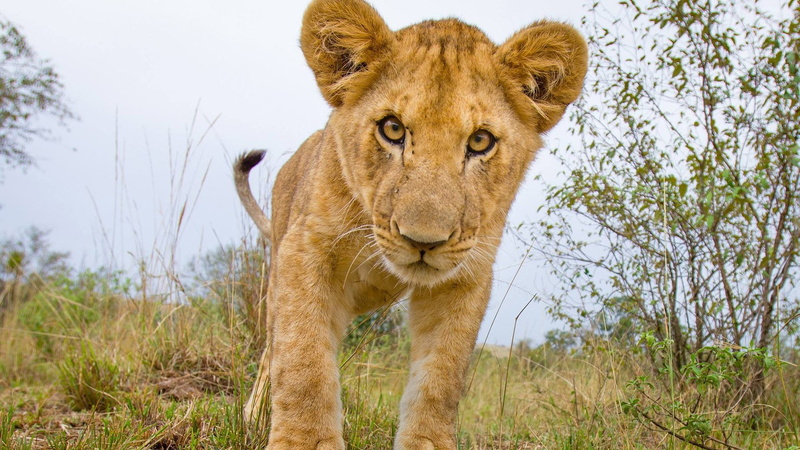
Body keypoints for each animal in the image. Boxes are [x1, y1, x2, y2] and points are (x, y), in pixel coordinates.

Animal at [234, 0, 587, 448]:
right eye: (393, 129)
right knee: (272, 348)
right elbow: (303, 359)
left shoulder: (465, 275)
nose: (424, 241)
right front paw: (305, 440)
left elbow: (441, 376)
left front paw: (426, 441)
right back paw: (254, 413)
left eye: (480, 141)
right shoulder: (306, 249)